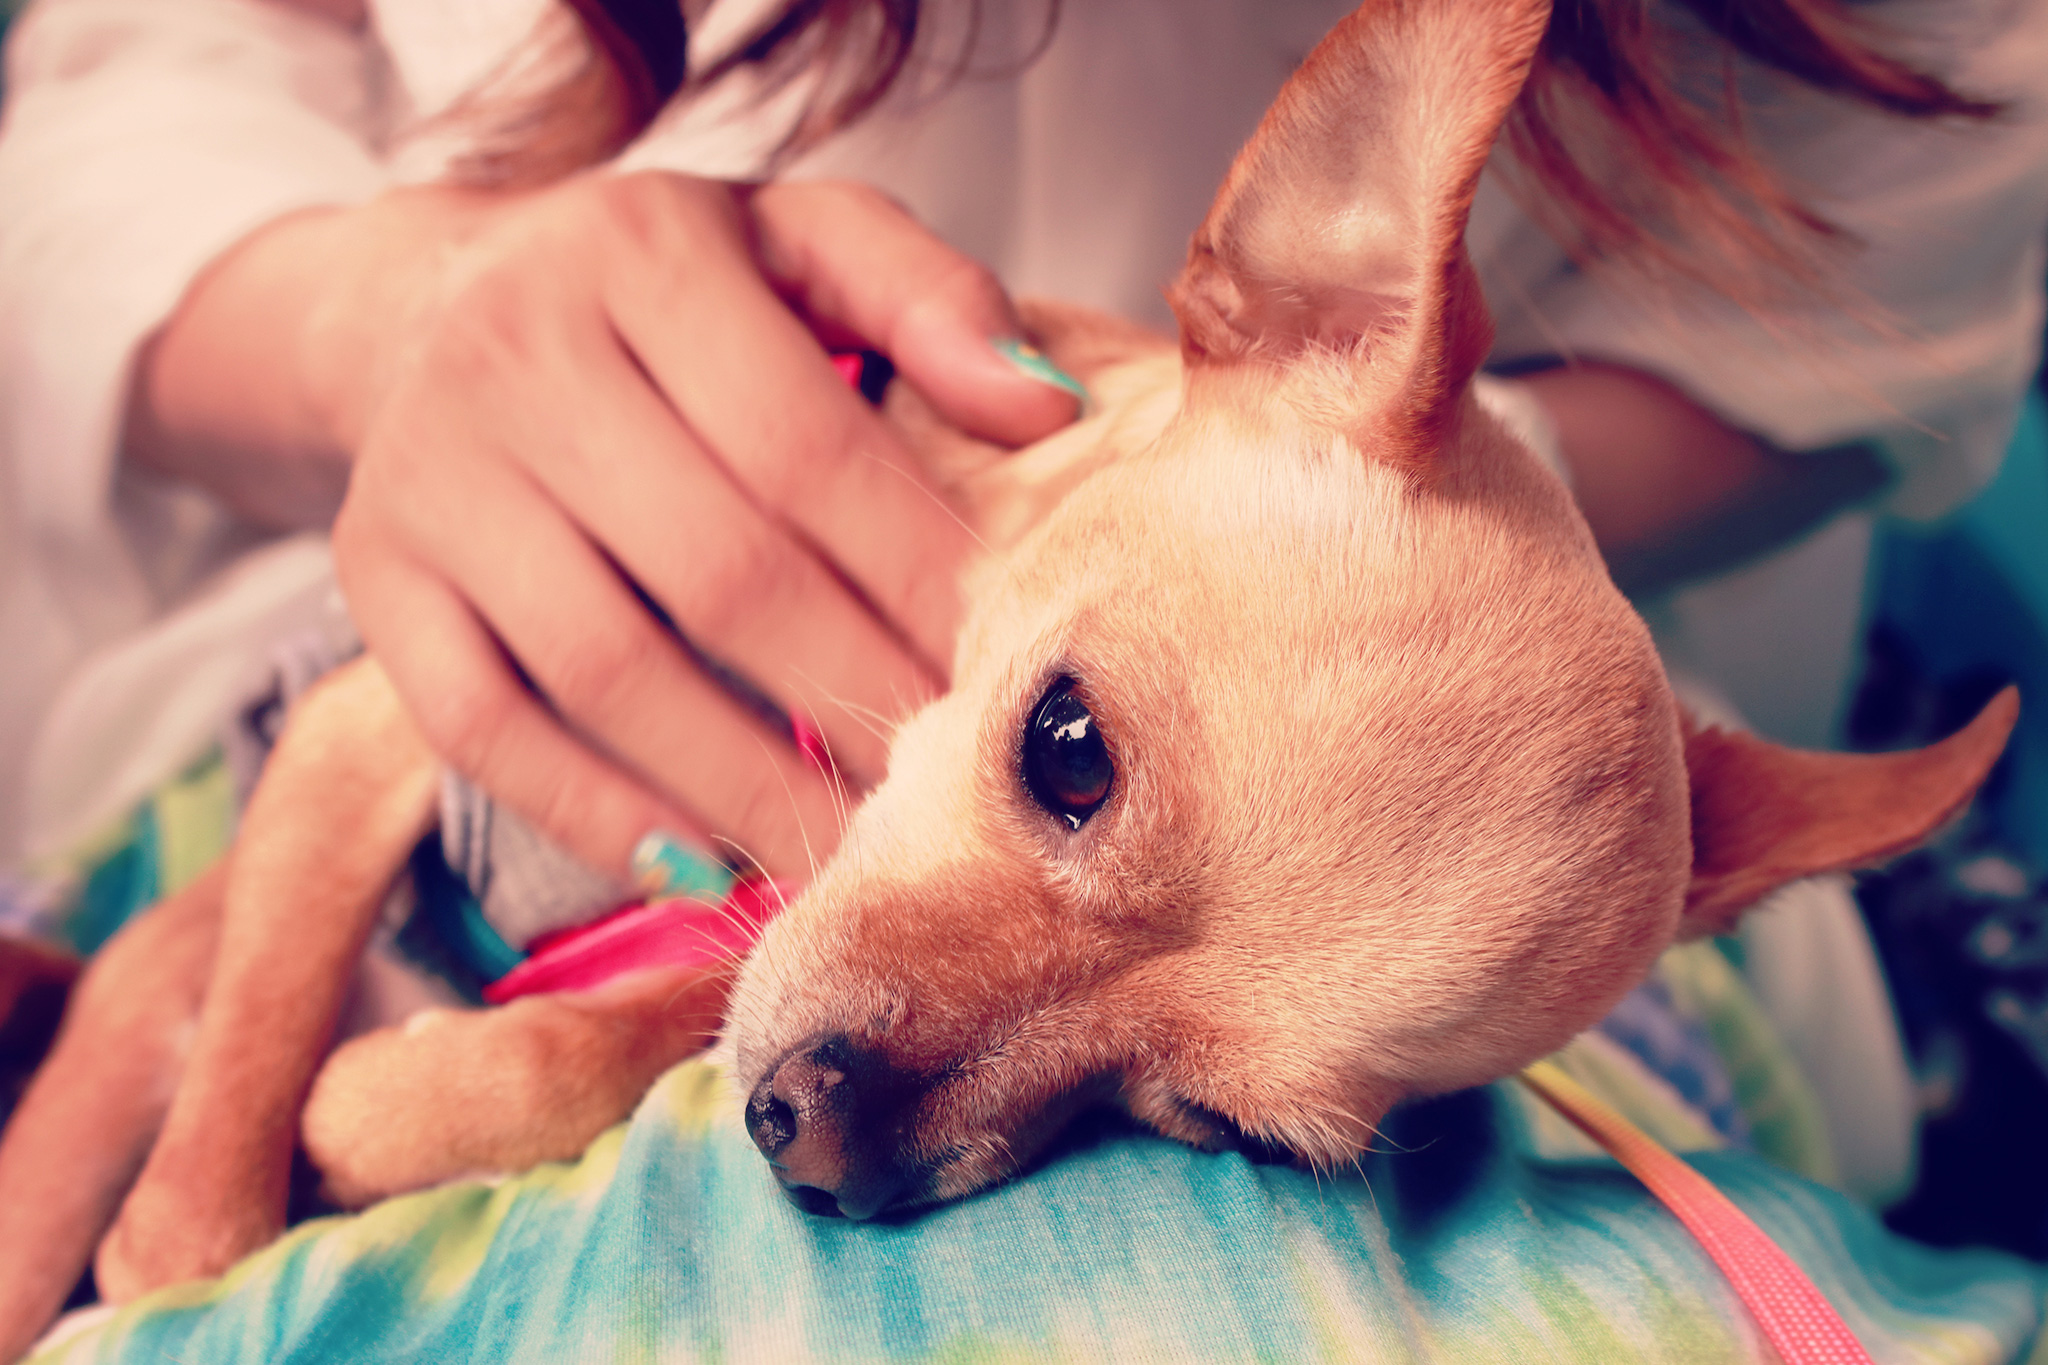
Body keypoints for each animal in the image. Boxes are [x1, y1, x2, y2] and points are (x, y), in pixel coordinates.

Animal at [0, 0, 2015, 1350]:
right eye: (1068, 748)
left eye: (1216, 1130)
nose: (822, 1156)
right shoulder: (389, 713)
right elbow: (235, 1098)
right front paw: (214, 1212)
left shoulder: (746, 914)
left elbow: (684, 992)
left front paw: (422, 1097)